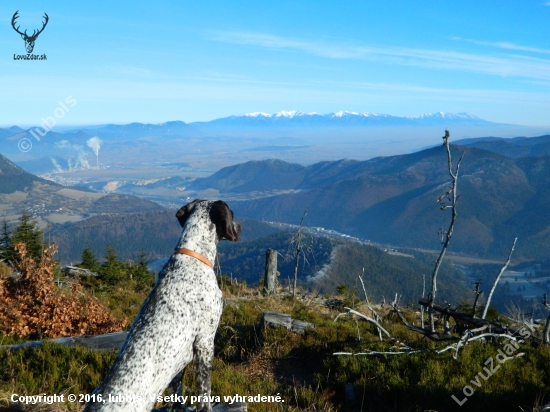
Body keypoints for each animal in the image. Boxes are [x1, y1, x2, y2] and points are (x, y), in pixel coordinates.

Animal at [84, 200, 242, 412]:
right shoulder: (205, 341)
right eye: (232, 214)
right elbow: (204, 392)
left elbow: (177, 389)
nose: (240, 227)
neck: (192, 257)